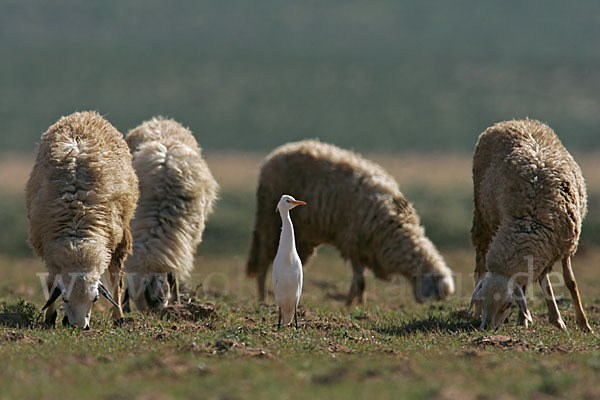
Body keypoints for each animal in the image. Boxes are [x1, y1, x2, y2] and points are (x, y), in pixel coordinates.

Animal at [26, 110, 139, 328]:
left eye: (95, 299)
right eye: (65, 298)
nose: (80, 328)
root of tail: (85, 115)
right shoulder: (47, 245)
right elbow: (51, 281)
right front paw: (50, 318)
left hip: (121, 233)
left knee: (117, 277)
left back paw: (118, 316)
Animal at [246, 139, 452, 304]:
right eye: (436, 292)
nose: (427, 305)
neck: (395, 229)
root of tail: (276, 153)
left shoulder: (364, 249)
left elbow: (359, 280)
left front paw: (357, 302)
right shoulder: (353, 242)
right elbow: (359, 279)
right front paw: (353, 303)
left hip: (302, 237)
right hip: (269, 224)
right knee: (263, 264)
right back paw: (262, 299)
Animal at [468, 119, 592, 332]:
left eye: (507, 304)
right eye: (483, 301)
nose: (487, 328)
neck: (529, 219)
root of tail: (515, 121)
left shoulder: (563, 243)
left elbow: (570, 282)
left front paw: (581, 323)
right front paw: (527, 318)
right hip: (483, 219)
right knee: (480, 265)